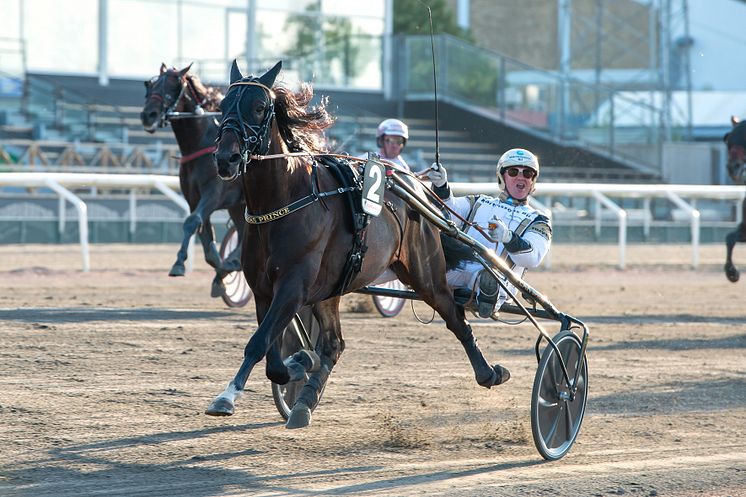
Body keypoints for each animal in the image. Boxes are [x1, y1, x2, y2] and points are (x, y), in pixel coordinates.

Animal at [140, 61, 244, 294]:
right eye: (150, 85)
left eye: (172, 86)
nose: (148, 115)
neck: (200, 144)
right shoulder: (193, 197)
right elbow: (205, 238)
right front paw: (221, 273)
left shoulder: (214, 193)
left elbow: (192, 221)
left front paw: (179, 263)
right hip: (238, 205)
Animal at [203, 61, 506, 426]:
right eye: (222, 107)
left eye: (260, 107)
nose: (226, 159)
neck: (283, 202)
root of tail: (413, 187)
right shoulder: (264, 289)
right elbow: (272, 352)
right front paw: (296, 365)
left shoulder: (293, 286)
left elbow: (259, 342)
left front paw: (227, 396)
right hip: (331, 288)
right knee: (334, 344)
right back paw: (304, 403)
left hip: (425, 273)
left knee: (455, 318)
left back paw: (489, 372)